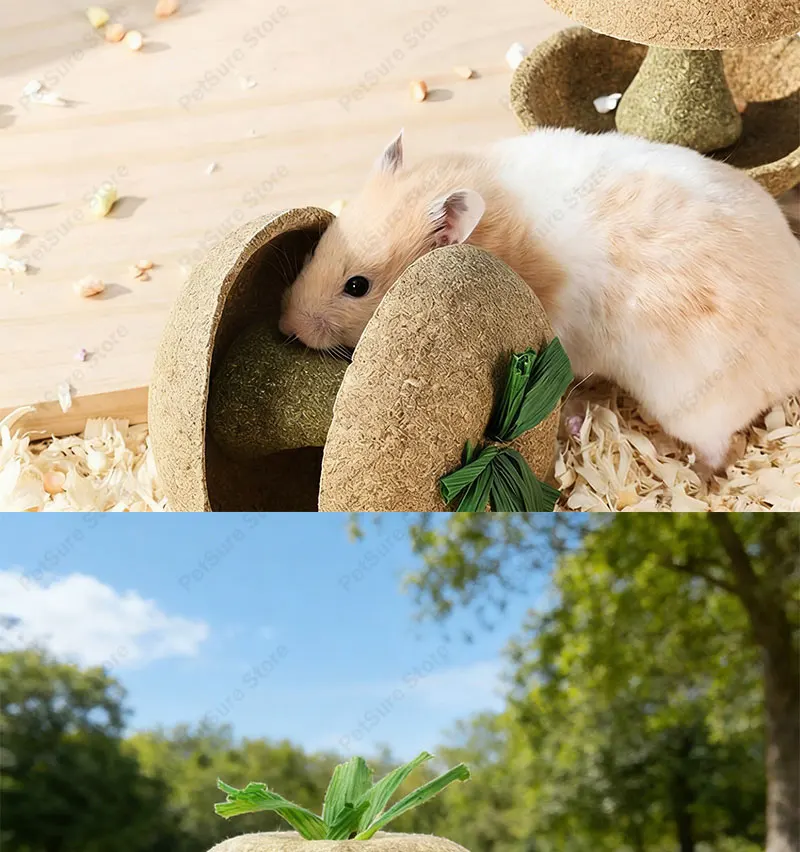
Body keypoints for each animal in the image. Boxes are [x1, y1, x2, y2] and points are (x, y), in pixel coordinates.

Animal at [279, 128, 800, 471]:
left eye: (357, 286)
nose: (286, 325)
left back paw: (701, 475)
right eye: (319, 246)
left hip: (694, 403)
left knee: (716, 446)